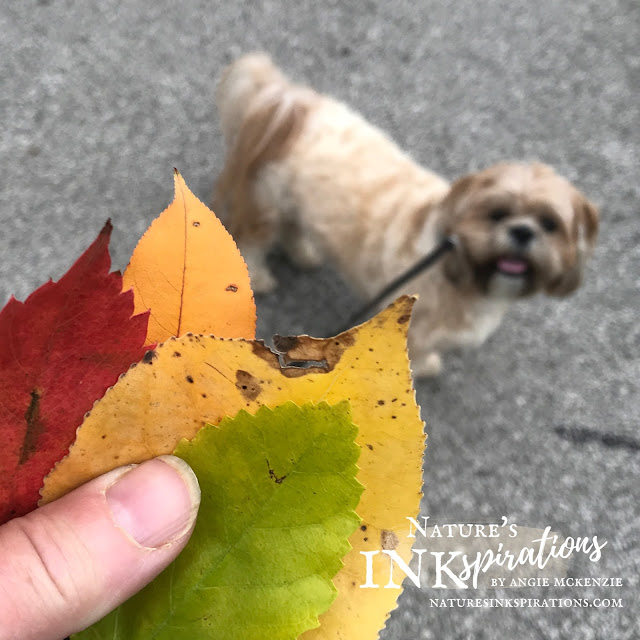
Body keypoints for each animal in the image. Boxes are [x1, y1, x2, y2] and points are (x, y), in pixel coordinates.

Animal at [215, 55, 600, 378]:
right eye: (496, 214)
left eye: (550, 224)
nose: (522, 232)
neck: (457, 265)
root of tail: (296, 104)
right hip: (269, 202)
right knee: (254, 241)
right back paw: (260, 276)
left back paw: (304, 252)